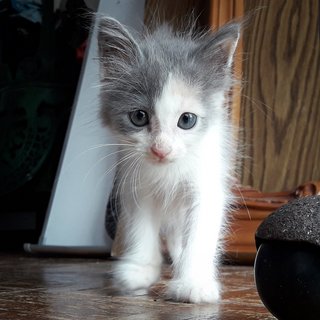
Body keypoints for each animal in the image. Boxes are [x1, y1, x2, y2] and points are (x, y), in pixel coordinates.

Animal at [97, 16, 240, 304]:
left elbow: (200, 233)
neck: (168, 172)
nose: (160, 149)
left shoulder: (207, 186)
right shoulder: (136, 185)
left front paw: (193, 283)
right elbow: (141, 228)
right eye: (138, 117)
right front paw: (139, 270)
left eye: (187, 120)